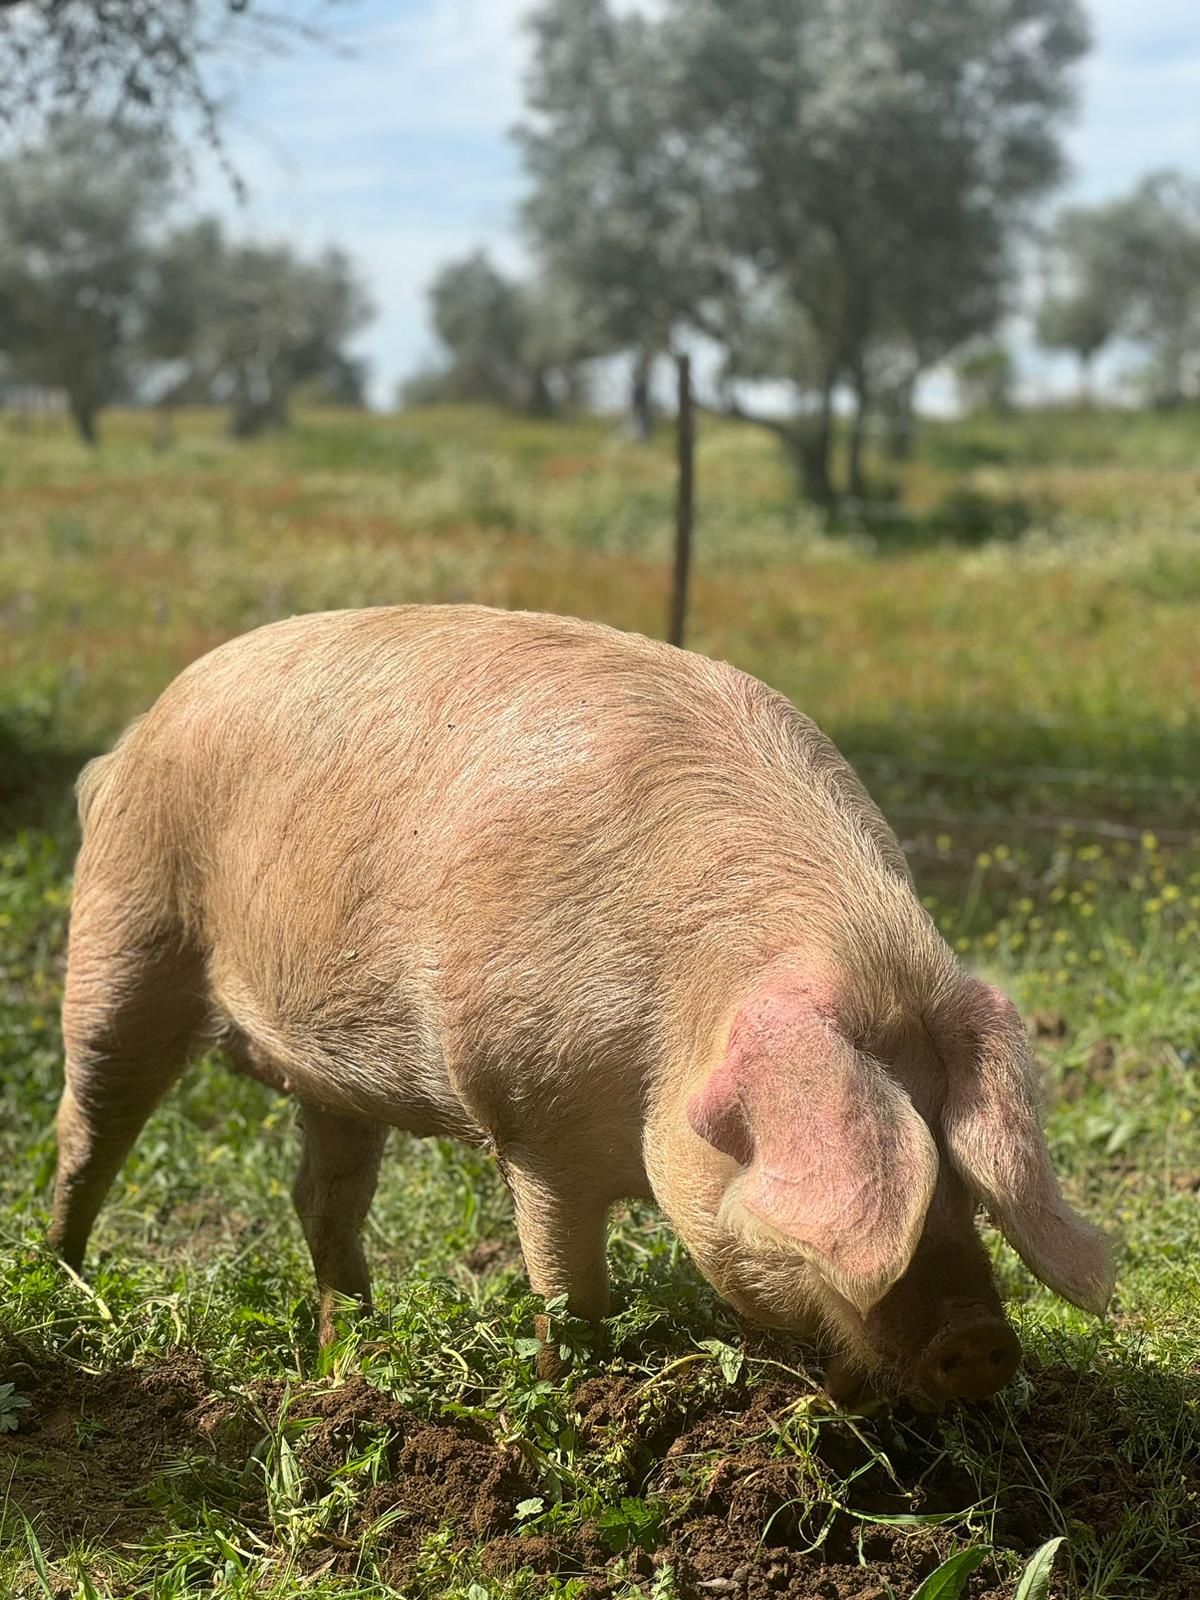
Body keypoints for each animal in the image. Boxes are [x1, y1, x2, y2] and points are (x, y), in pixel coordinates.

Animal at [47, 601, 1120, 1401]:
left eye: (964, 1174)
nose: (981, 1340)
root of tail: (125, 742)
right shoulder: (529, 1115)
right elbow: (569, 1292)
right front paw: (580, 1403)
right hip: (123, 932)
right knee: (86, 1130)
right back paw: (64, 1293)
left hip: (328, 1069)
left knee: (320, 1199)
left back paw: (347, 1361)